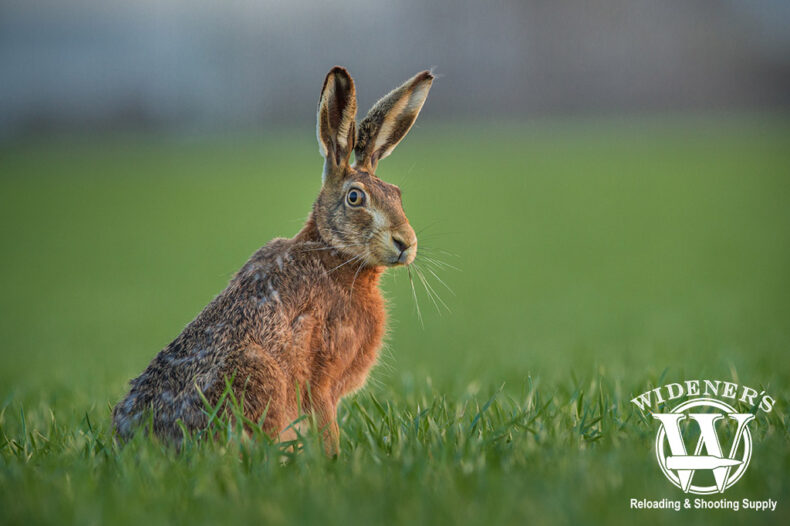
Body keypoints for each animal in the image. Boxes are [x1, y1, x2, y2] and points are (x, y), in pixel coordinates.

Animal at [112, 66, 434, 453]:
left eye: (397, 194)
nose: (406, 243)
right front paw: (334, 458)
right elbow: (326, 425)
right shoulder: (320, 380)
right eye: (355, 198)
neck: (335, 255)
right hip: (258, 376)